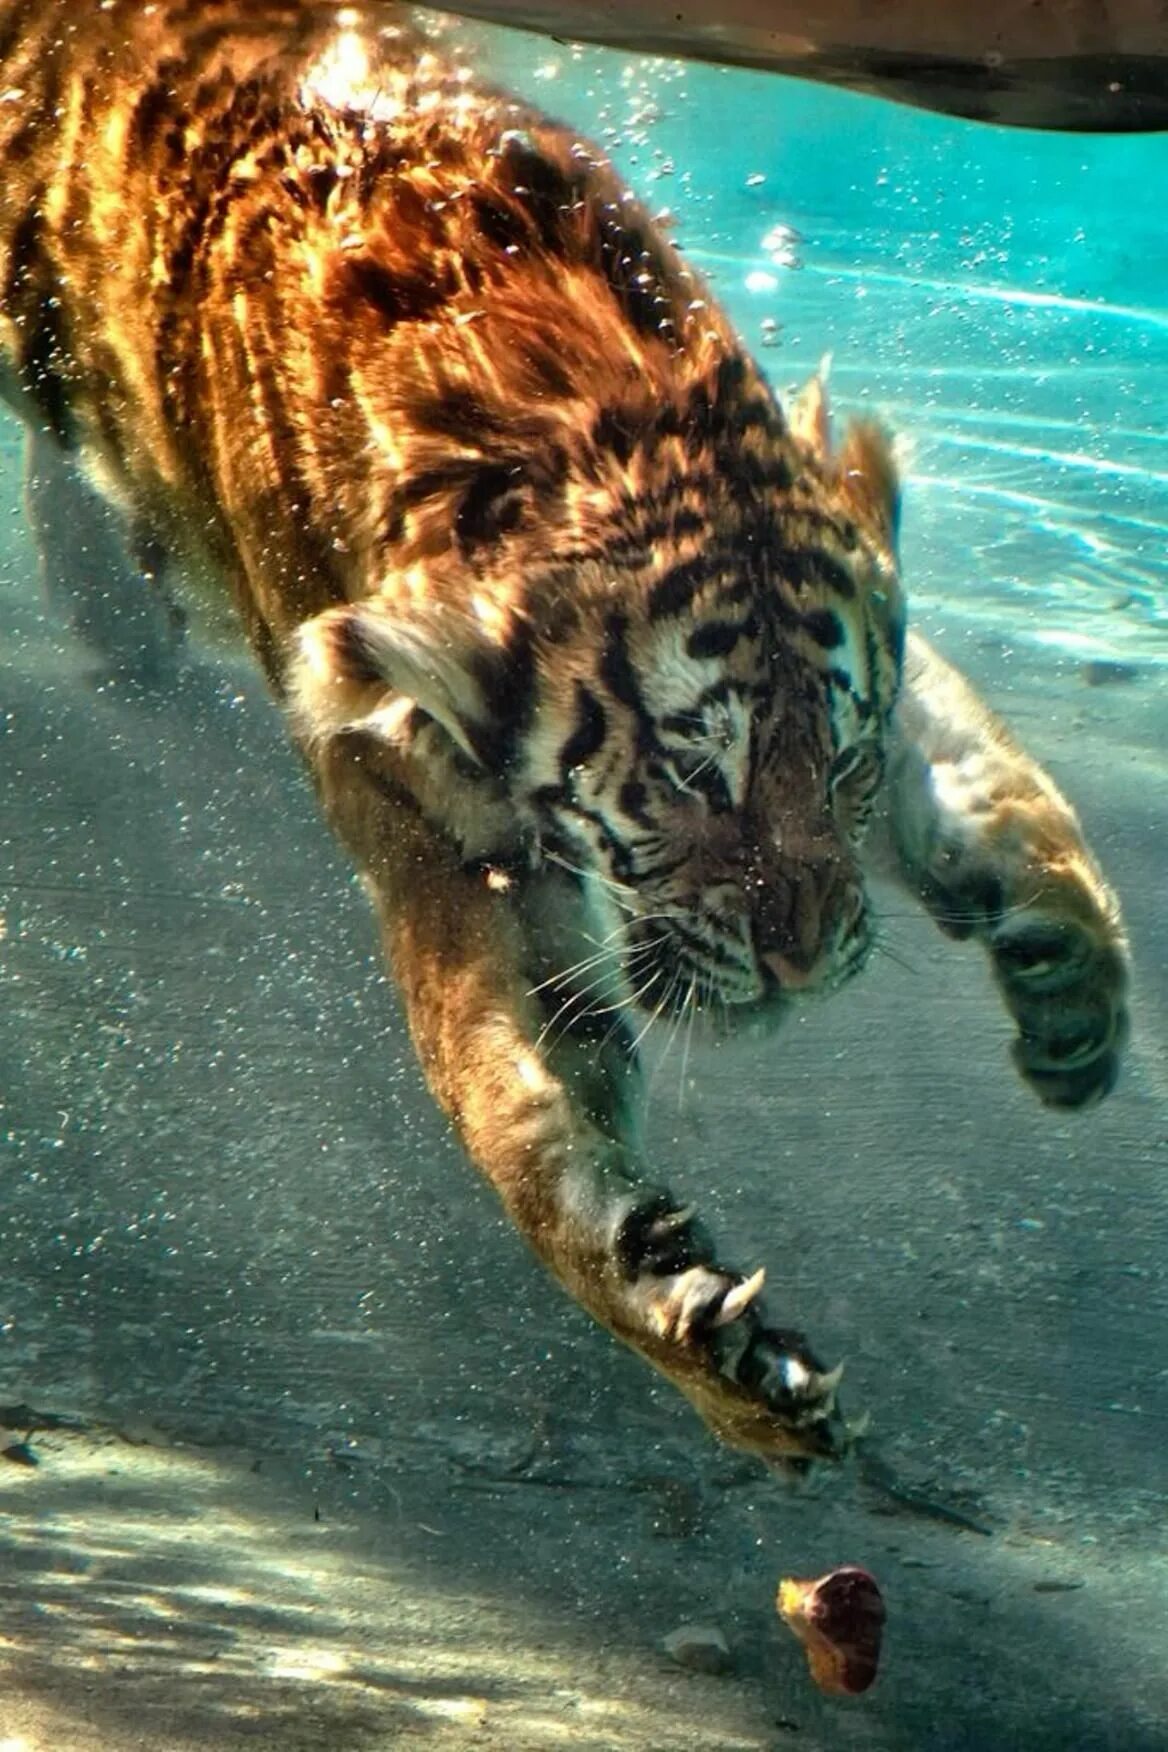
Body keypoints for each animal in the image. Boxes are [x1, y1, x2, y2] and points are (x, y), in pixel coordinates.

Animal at [0, 0, 1129, 1463]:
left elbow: (997, 781)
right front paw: (697, 1337)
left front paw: (1075, 1005)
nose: (807, 960)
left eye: (843, 762)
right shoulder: (436, 821)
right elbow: (525, 1102)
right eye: (694, 777)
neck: (595, 405)